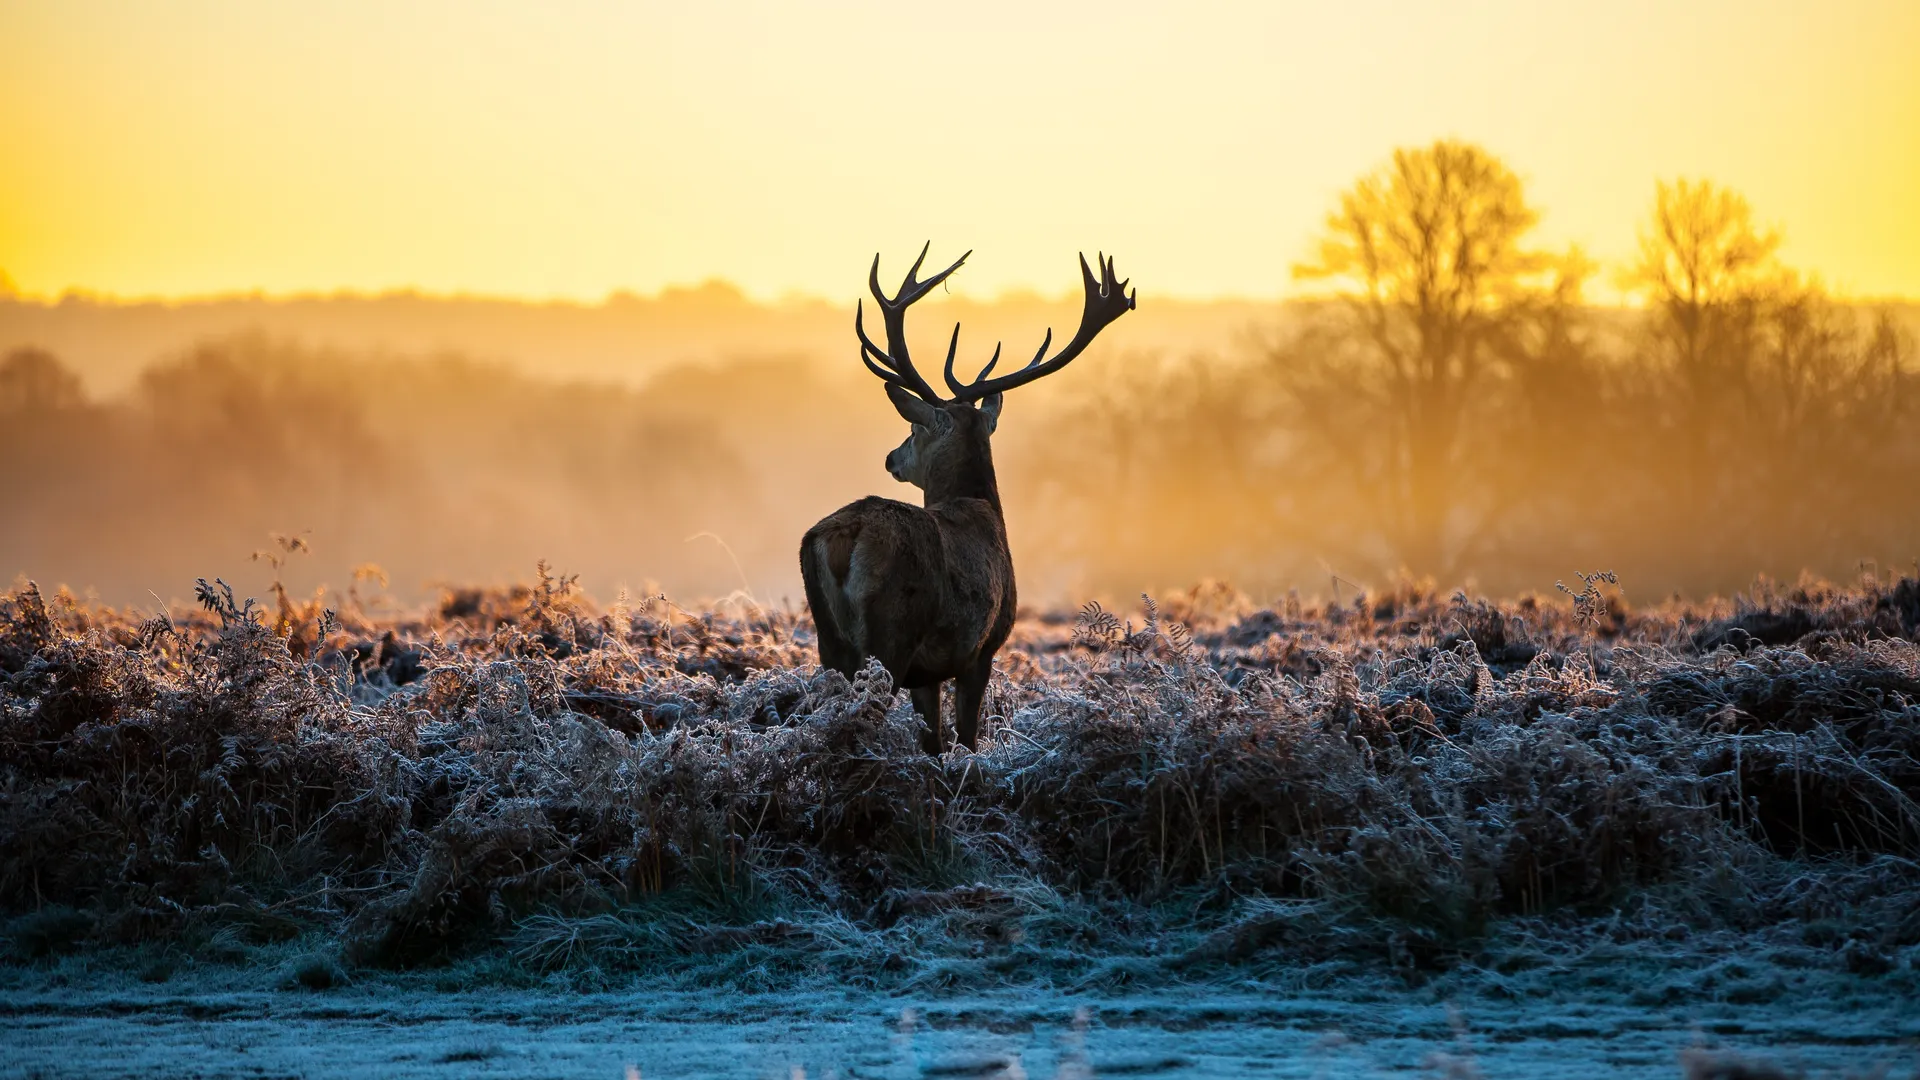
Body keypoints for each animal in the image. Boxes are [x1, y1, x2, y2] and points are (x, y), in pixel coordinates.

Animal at [798, 244, 1128, 749]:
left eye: (913, 429)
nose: (891, 458)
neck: (982, 507)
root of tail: (842, 537)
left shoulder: (928, 673)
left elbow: (933, 742)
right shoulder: (981, 649)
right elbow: (966, 738)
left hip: (828, 639)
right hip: (891, 633)